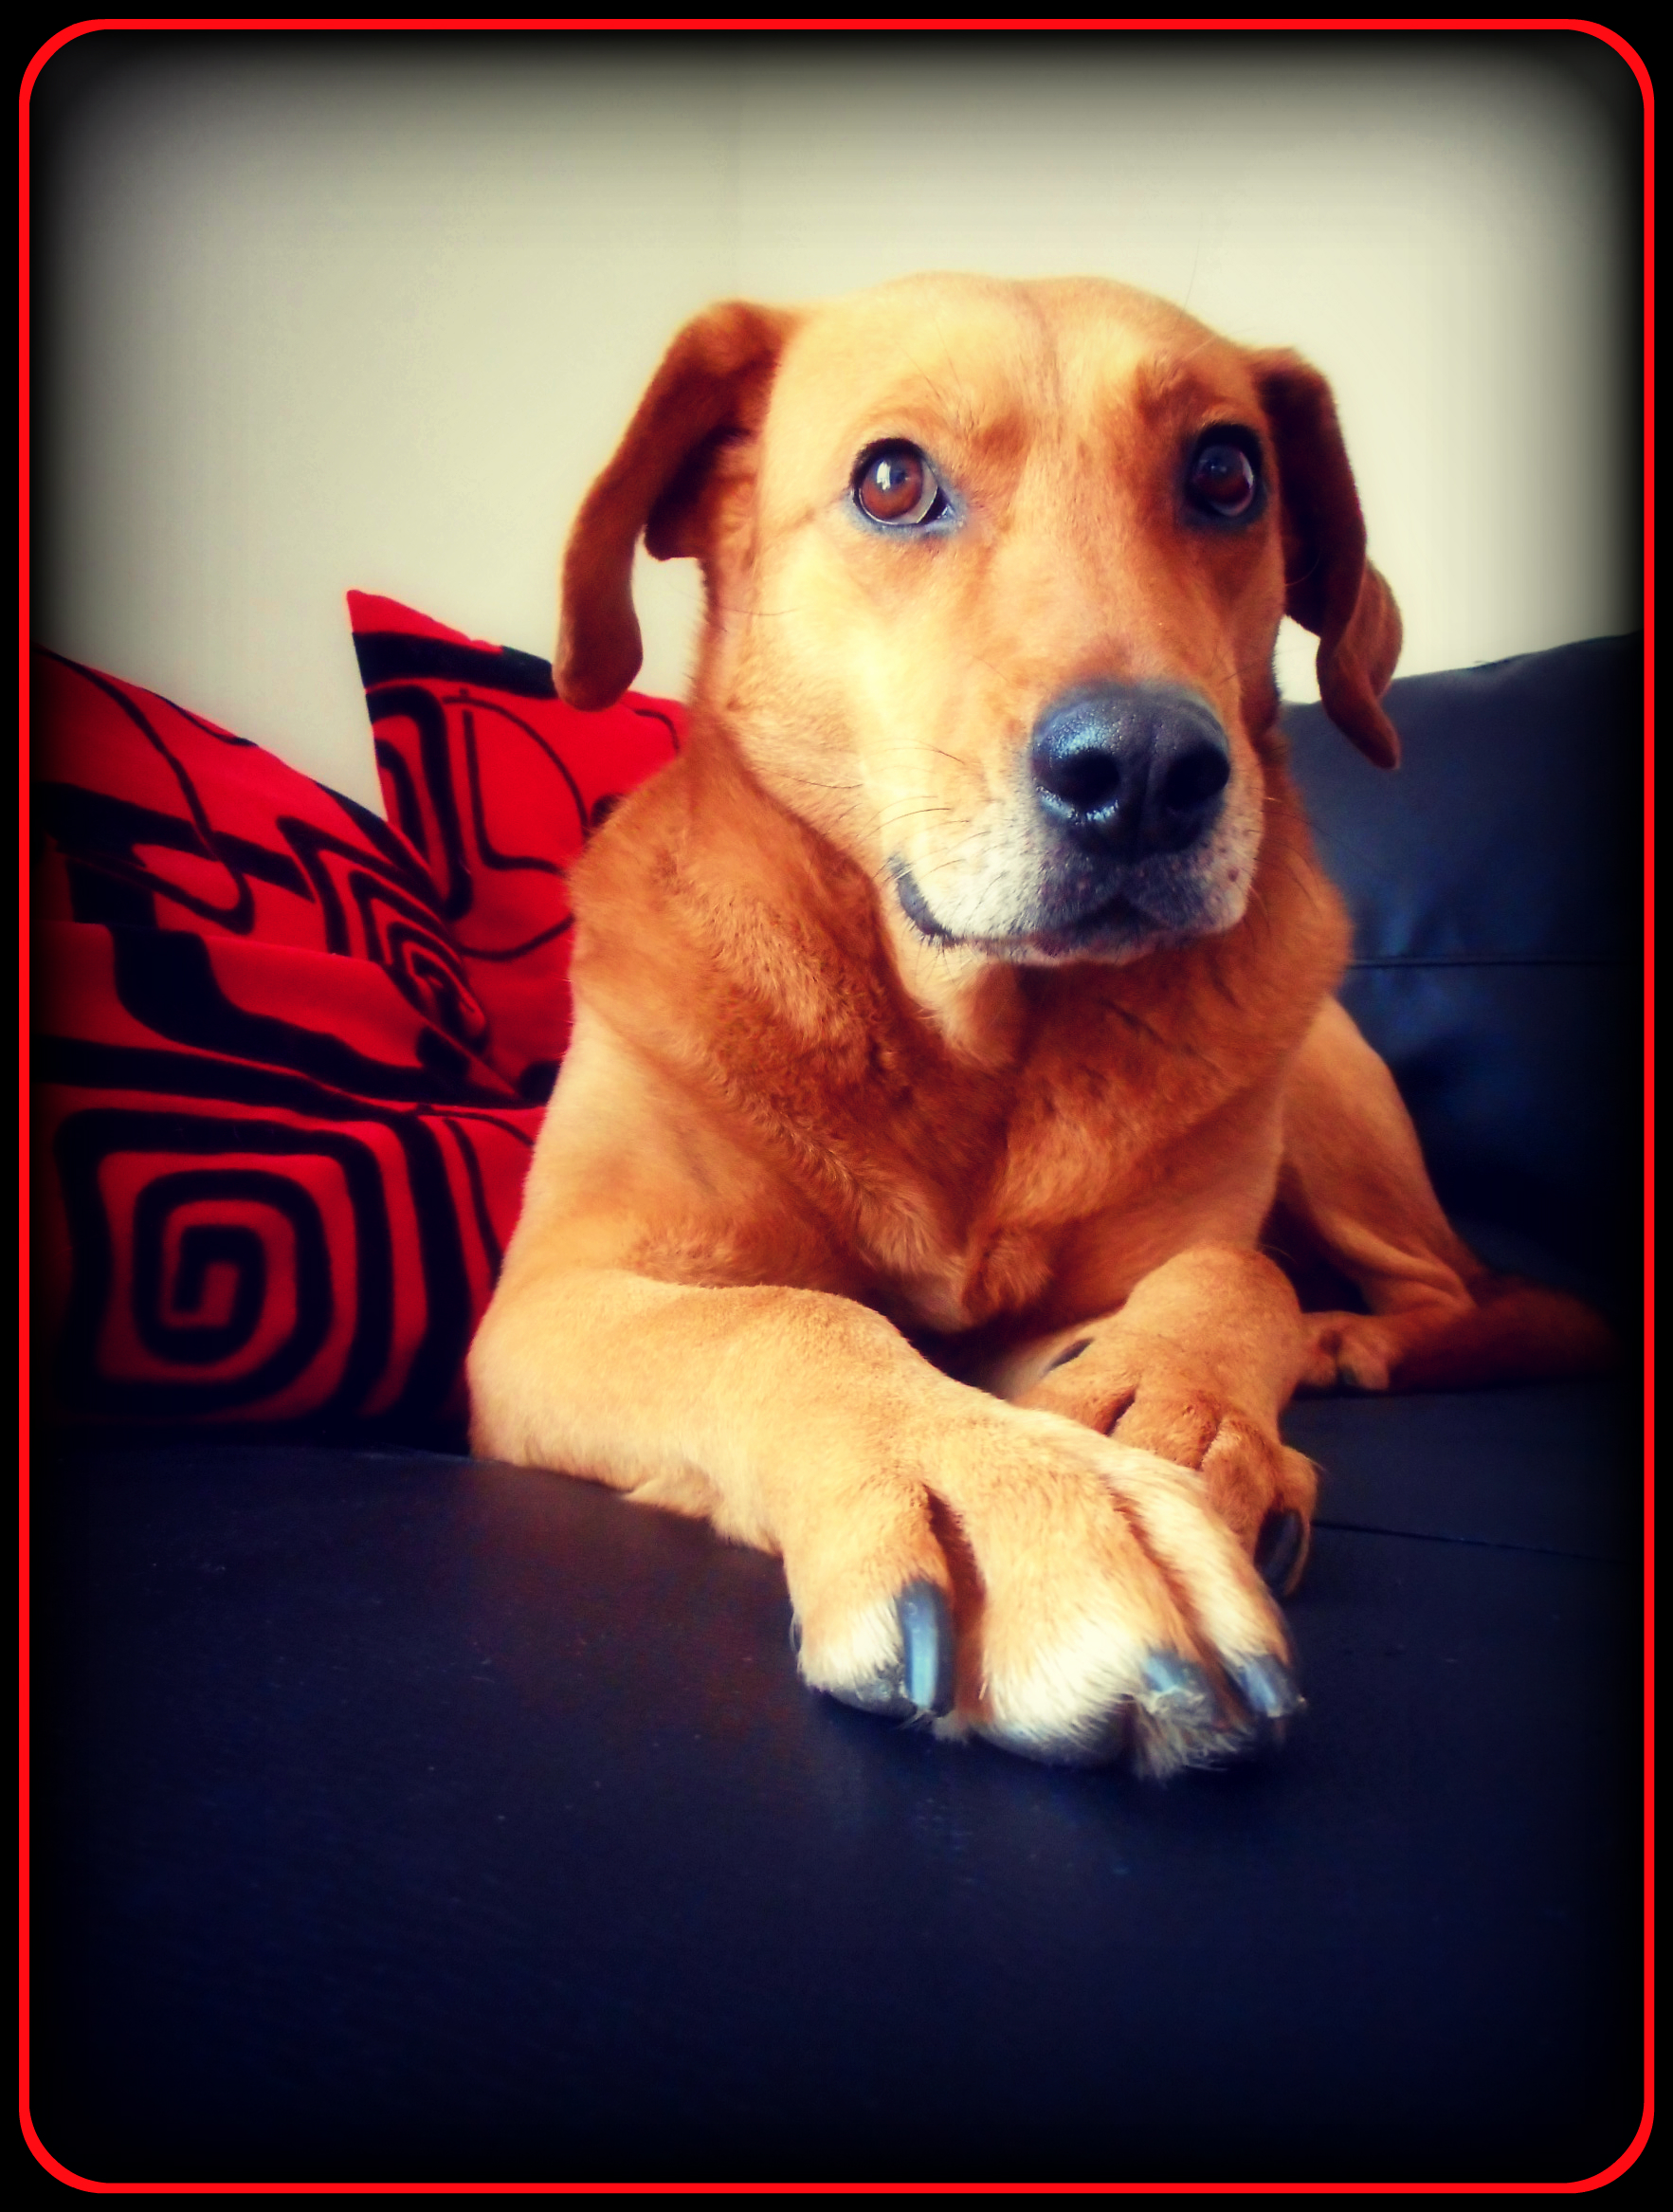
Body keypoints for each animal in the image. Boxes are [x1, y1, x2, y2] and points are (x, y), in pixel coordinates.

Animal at [468, 273, 1611, 1775]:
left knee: (1450, 1292)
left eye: (1227, 474)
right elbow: (789, 1320)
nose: (1146, 772)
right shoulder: (550, 1301)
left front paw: (1163, 1406)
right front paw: (999, 1500)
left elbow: (1226, 1272)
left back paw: (1343, 1340)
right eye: (891, 480)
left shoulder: (1111, 1283)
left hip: (1325, 1096)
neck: (974, 1043)